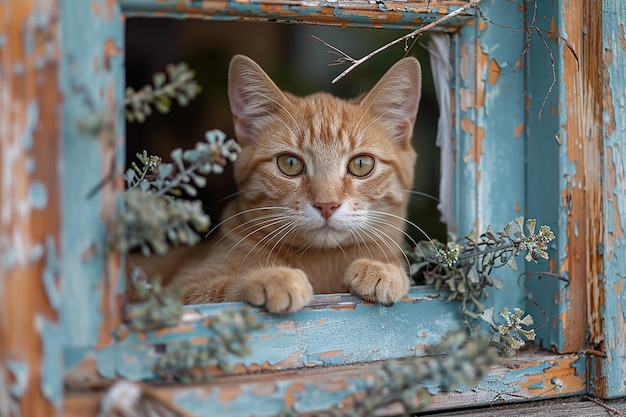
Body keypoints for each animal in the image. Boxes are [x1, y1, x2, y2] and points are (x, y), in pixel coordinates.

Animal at [165, 55, 420, 314]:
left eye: (360, 164)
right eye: (290, 163)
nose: (326, 205)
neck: (323, 262)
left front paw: (384, 269)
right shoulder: (177, 292)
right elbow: (221, 291)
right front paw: (272, 277)